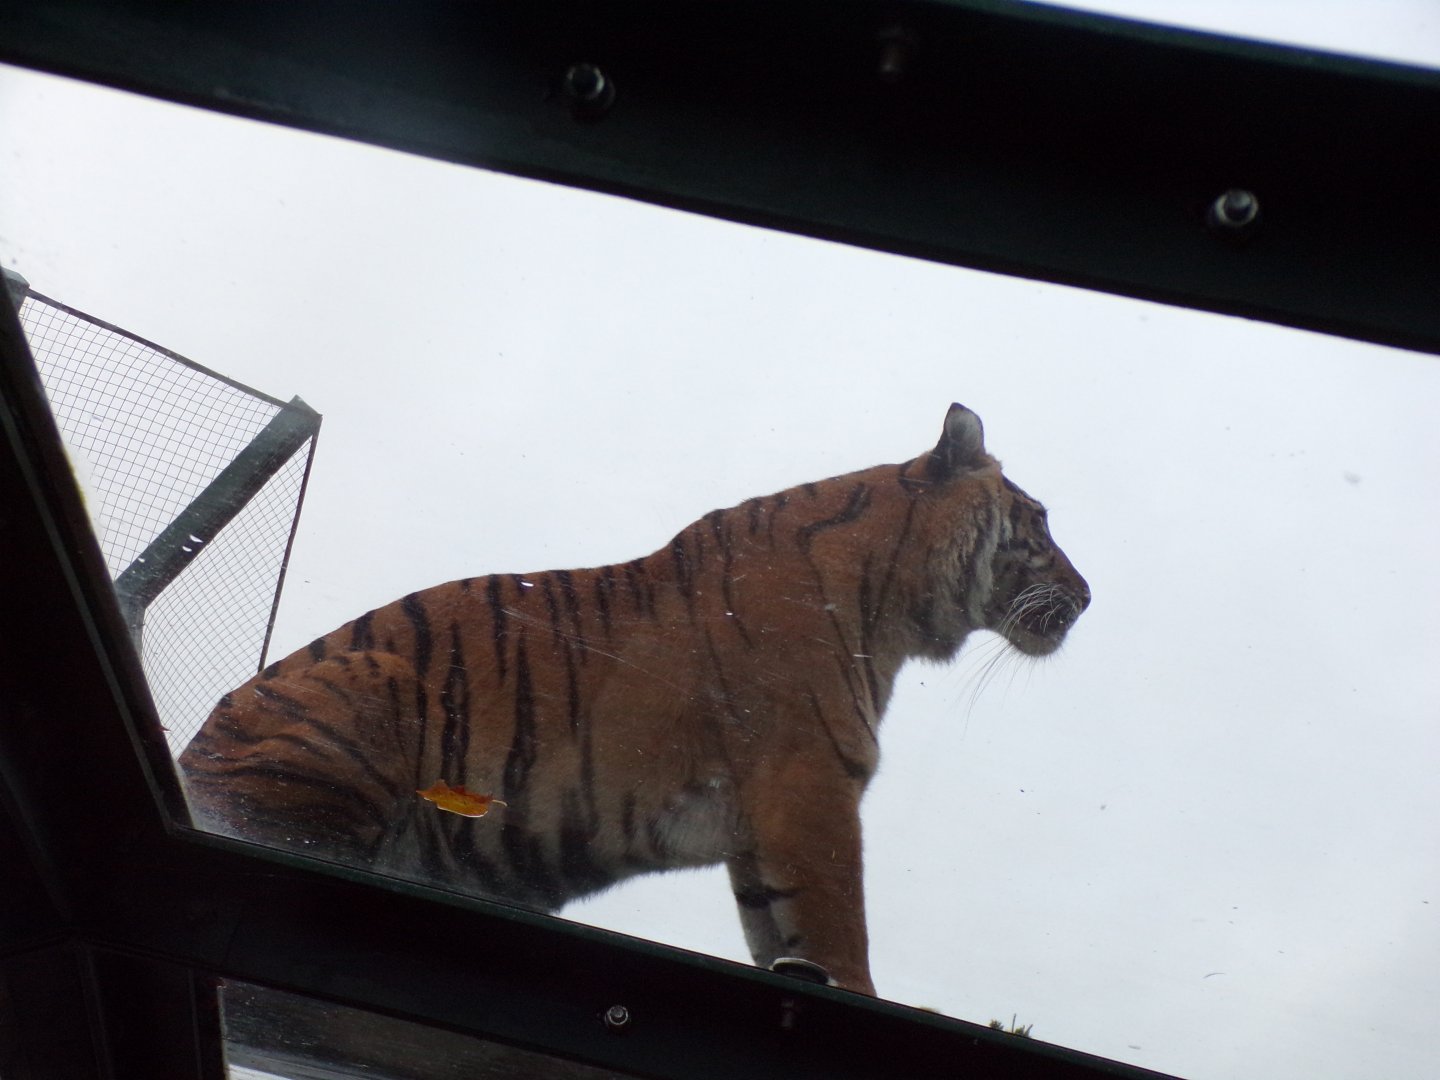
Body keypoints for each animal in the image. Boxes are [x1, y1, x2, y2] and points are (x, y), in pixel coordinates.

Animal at [179, 403, 1089, 995]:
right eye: (1041, 521)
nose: (1087, 598)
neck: (893, 603)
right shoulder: (811, 792)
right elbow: (843, 941)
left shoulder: (764, 827)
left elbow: (787, 943)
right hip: (369, 686)